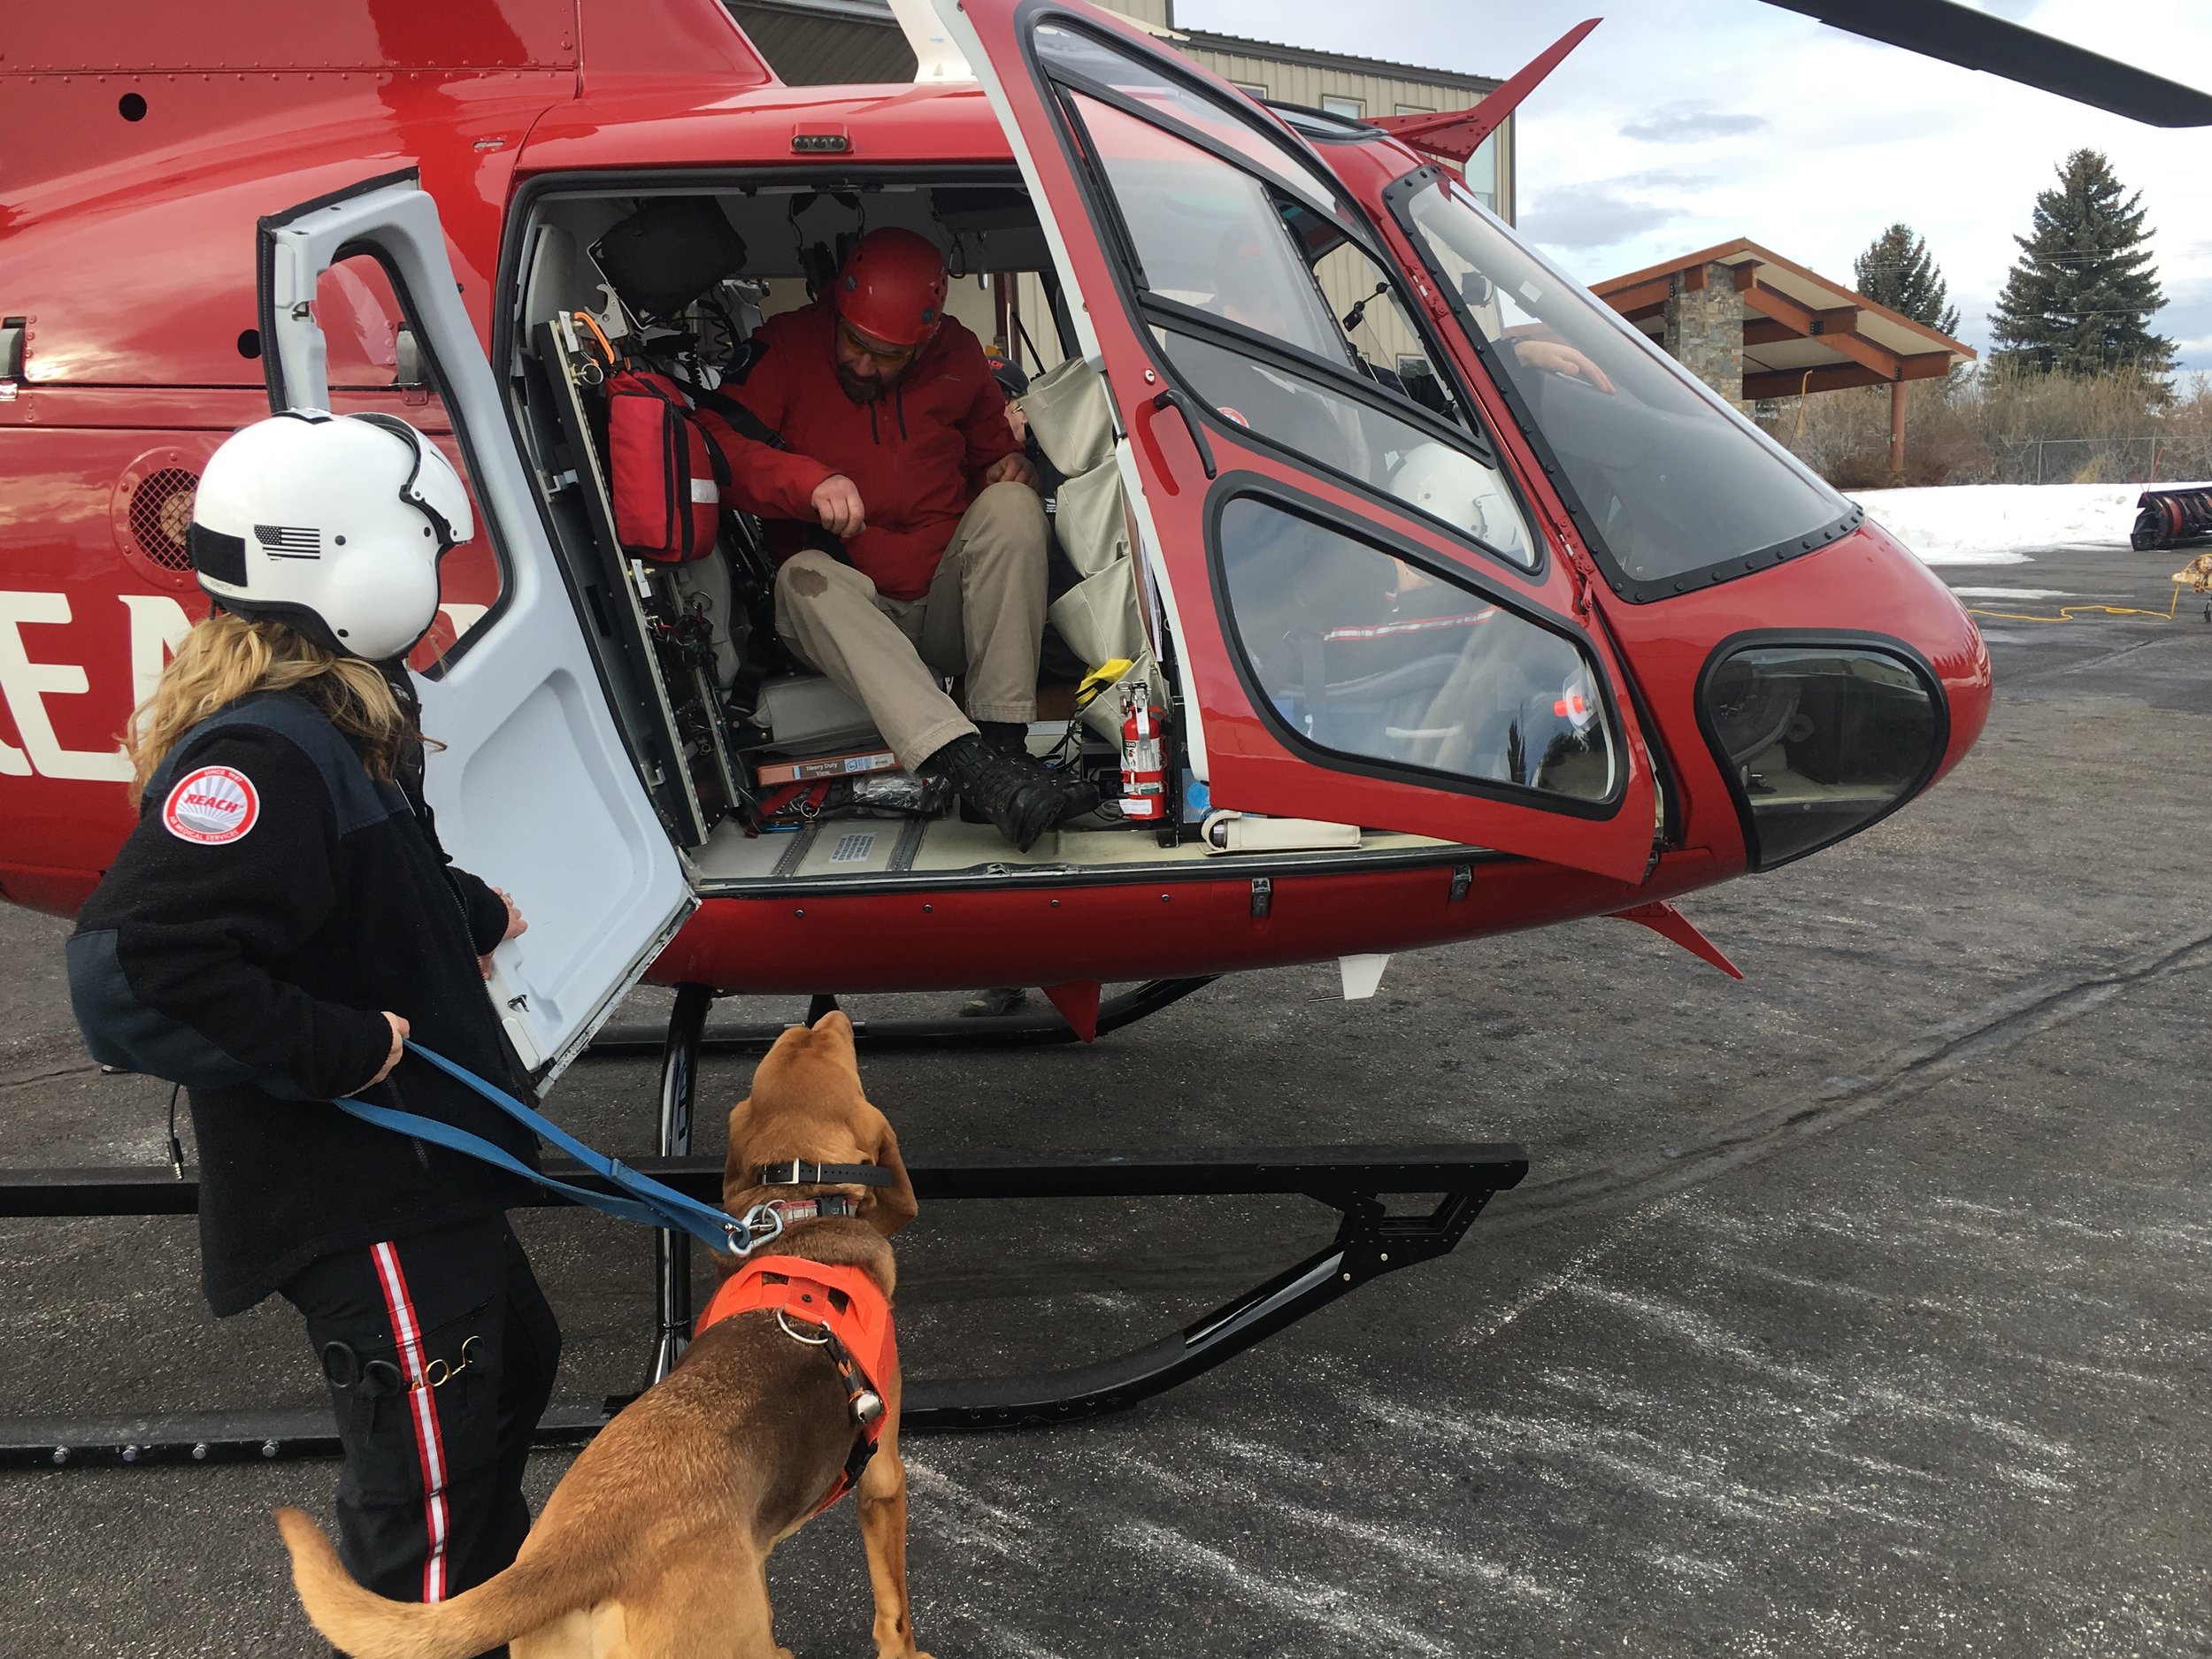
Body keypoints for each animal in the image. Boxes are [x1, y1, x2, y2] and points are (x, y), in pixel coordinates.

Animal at [276, 1013, 933, 1659]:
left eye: (804, 1041)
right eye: (829, 1045)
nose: (830, 1015)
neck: (799, 1214)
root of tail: (582, 1550)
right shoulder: (883, 1479)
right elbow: (894, 1611)